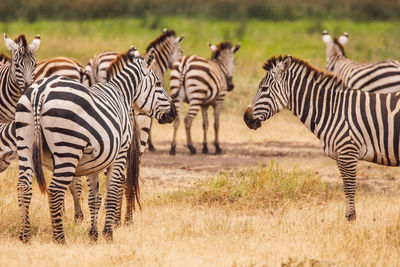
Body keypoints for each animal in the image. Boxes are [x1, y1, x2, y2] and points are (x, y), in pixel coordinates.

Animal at [14, 46, 177, 245]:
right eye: (158, 84)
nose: (173, 113)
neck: (122, 94)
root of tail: (40, 91)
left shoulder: (93, 161)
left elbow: (94, 199)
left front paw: (93, 235)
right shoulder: (120, 153)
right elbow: (111, 194)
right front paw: (108, 235)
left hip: (25, 142)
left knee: (23, 186)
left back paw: (25, 236)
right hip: (67, 149)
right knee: (55, 190)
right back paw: (60, 239)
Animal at [244, 54, 400, 222]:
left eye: (264, 89)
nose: (246, 118)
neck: (332, 110)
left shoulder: (348, 151)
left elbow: (349, 187)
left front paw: (350, 220)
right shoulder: (340, 154)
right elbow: (347, 187)